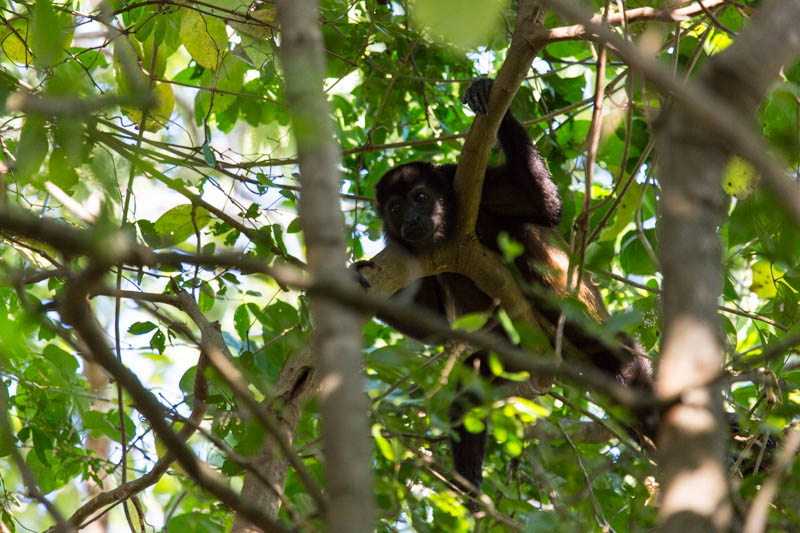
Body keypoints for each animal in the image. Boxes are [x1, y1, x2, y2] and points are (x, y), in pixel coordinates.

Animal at [358, 78, 656, 502]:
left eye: (420, 197)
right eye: (395, 208)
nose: (413, 219)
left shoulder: (470, 184)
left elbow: (544, 207)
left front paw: (487, 96)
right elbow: (432, 324)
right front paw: (357, 278)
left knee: (619, 360)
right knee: (469, 388)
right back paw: (468, 482)